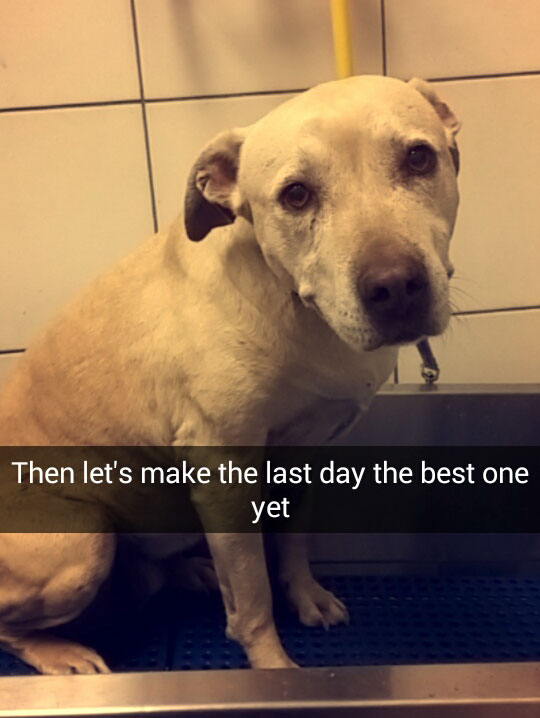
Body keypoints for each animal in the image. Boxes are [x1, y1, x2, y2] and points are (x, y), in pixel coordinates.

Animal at [0, 76, 460, 676]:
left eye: (418, 158)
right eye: (296, 195)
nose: (396, 287)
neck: (300, 312)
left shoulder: (303, 453)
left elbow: (291, 541)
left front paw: (306, 596)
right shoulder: (224, 471)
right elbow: (252, 592)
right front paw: (275, 672)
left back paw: (191, 574)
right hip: (80, 545)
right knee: (12, 623)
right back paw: (65, 653)